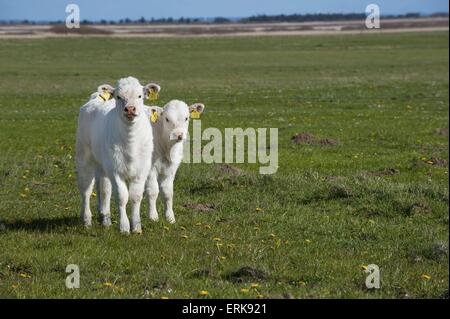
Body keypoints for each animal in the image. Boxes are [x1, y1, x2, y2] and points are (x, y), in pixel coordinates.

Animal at [76, 76, 161, 234]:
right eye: (119, 97)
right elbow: (122, 197)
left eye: (140, 96)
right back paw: (87, 220)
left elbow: (135, 196)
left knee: (104, 190)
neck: (130, 141)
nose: (130, 109)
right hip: (84, 158)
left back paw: (106, 219)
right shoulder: (115, 170)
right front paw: (124, 227)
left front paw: (137, 226)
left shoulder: (141, 171)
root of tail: (95, 99)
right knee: (86, 189)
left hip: (103, 166)